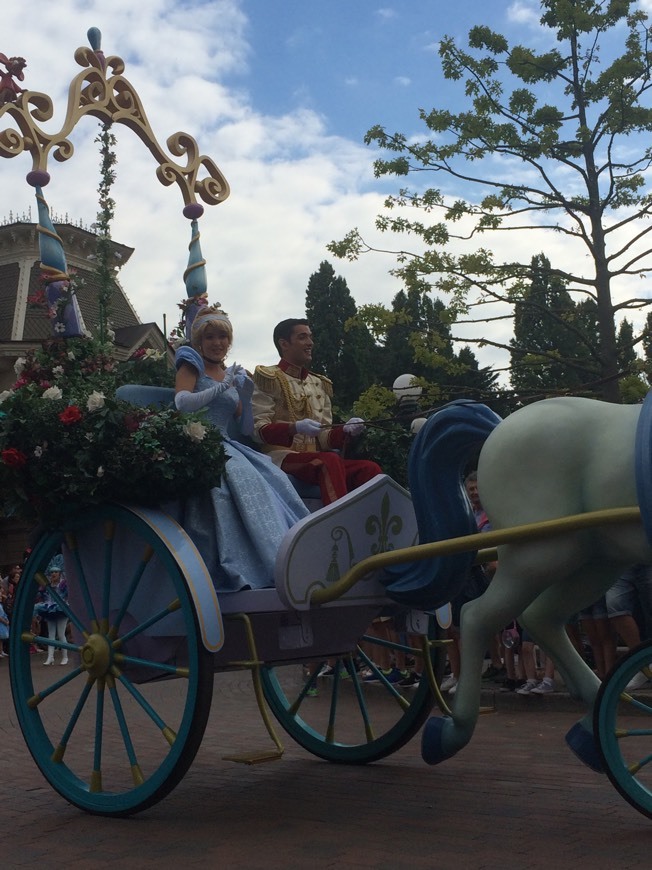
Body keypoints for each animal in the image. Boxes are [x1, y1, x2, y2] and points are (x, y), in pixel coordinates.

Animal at [384, 396, 648, 768]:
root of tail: (500, 427)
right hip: (542, 553)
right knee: (478, 616)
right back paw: (452, 732)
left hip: (593, 558)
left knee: (537, 617)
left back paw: (593, 728)